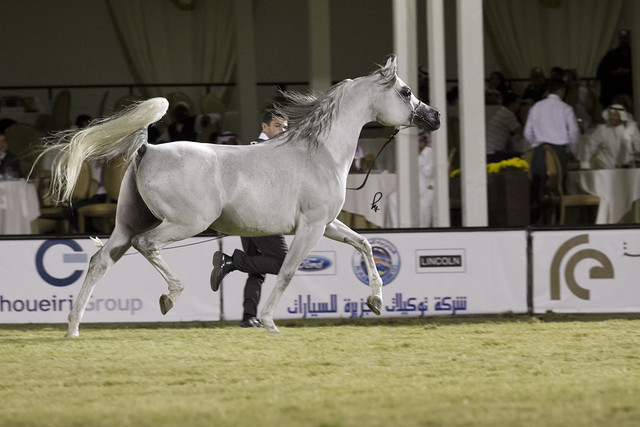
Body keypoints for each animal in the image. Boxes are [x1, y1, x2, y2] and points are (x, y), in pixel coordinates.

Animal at [42, 55, 440, 337]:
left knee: (100, 262)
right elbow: (288, 271)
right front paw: (268, 322)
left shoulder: (327, 224)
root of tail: (147, 148)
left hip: (126, 226)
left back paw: (73, 327)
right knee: (147, 245)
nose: (434, 117)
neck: (320, 153)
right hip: (183, 224)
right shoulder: (311, 227)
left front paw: (375, 301)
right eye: (406, 91)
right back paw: (171, 296)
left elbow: (366, 245)